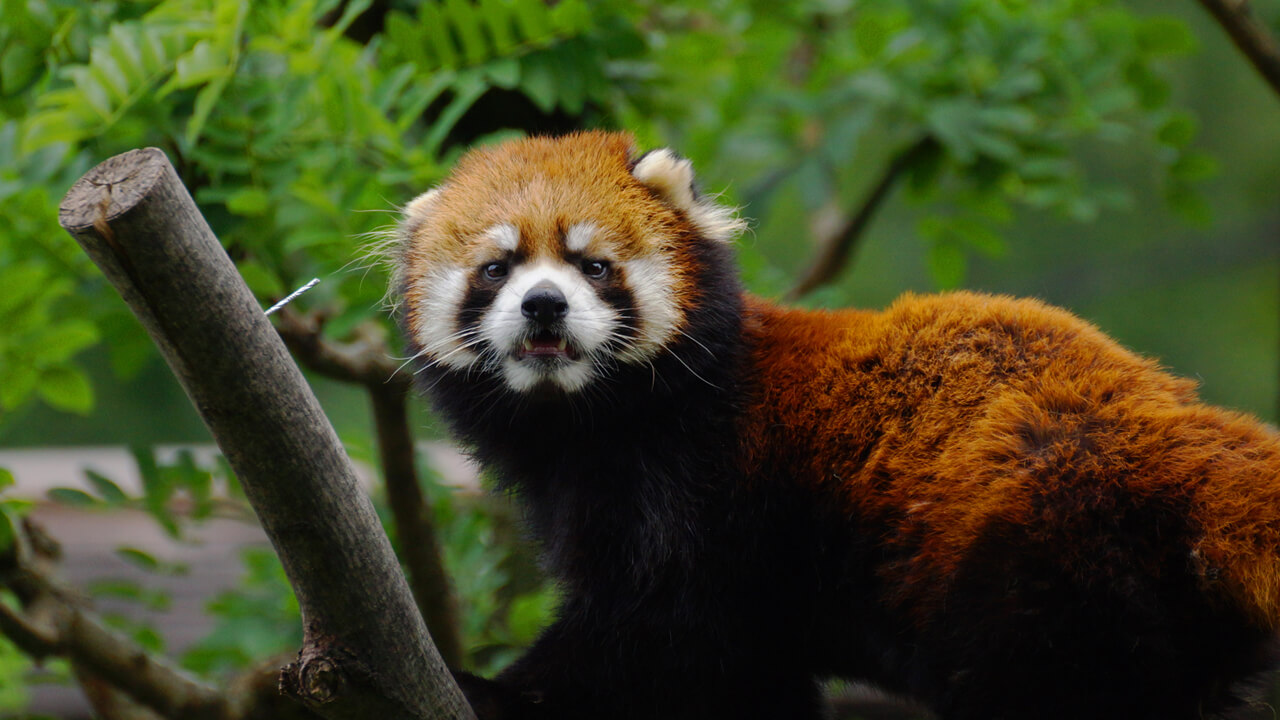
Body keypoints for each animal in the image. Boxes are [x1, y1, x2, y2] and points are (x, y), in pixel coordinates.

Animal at [389, 130, 1280, 717]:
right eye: (496, 268)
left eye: (594, 265)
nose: (543, 304)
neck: (590, 424)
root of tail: (1181, 426)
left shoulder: (706, 492)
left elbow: (655, 637)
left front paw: (494, 690)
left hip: (1037, 547)